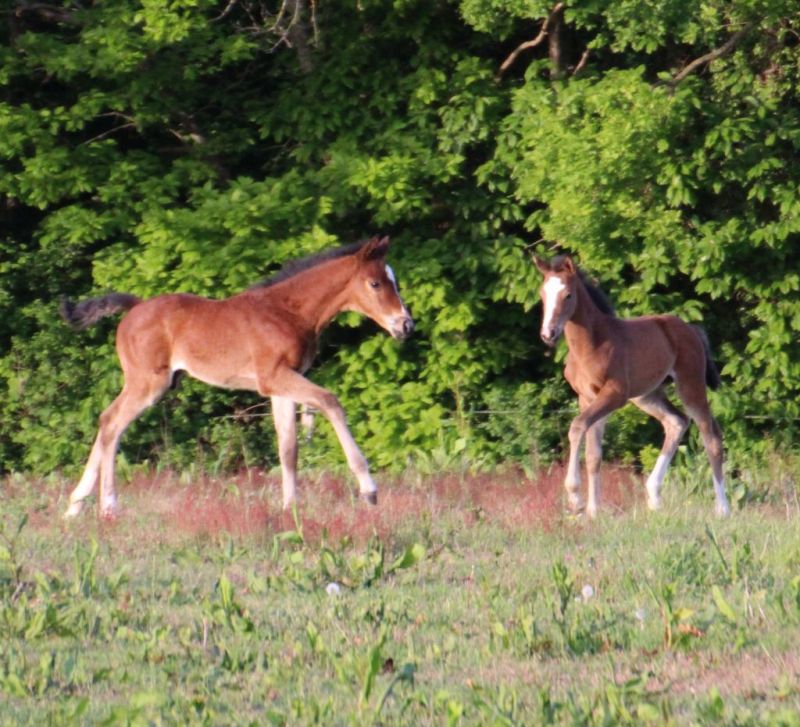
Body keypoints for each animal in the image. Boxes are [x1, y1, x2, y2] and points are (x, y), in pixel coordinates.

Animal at [61, 235, 412, 516]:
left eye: (394, 281)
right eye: (376, 283)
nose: (406, 325)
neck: (288, 311)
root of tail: (134, 307)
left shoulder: (281, 386)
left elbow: (288, 447)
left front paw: (290, 507)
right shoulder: (274, 377)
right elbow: (331, 402)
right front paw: (369, 489)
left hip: (149, 383)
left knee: (106, 422)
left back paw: (75, 505)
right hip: (149, 383)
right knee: (112, 423)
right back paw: (108, 506)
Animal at [536, 256, 728, 516]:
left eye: (567, 295)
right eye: (542, 294)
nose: (548, 333)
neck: (592, 345)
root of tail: (691, 329)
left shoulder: (614, 395)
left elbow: (577, 427)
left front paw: (576, 498)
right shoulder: (587, 398)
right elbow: (594, 455)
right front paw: (594, 511)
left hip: (690, 385)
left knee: (711, 437)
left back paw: (723, 509)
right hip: (647, 395)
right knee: (677, 421)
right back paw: (654, 497)